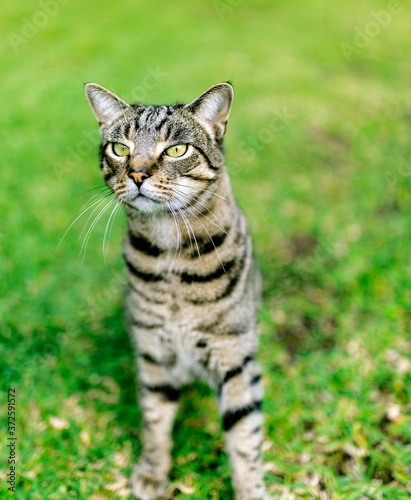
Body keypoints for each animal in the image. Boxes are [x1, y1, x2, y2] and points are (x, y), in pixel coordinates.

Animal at [85, 83, 268, 500]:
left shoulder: (235, 360)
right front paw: (153, 472)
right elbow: (155, 420)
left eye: (176, 150)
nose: (137, 173)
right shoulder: (154, 356)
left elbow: (244, 437)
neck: (171, 254)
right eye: (120, 148)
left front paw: (251, 490)